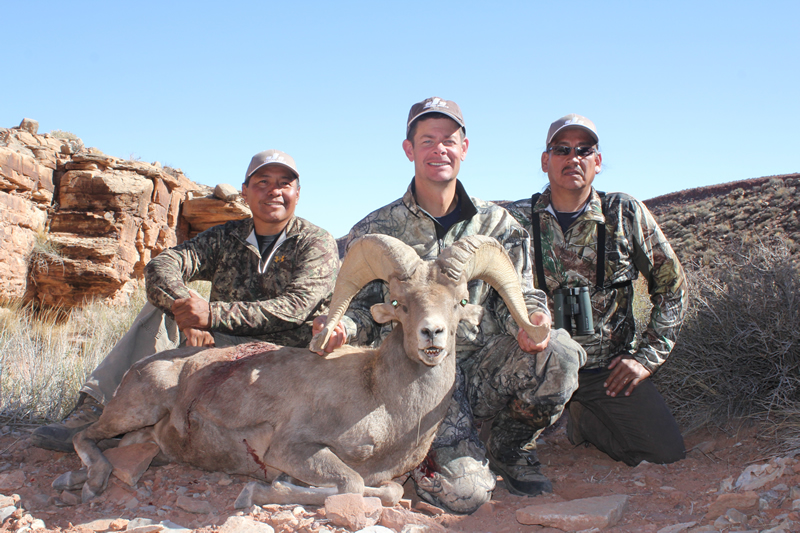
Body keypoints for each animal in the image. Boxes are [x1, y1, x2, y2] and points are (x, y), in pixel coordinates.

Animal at [69, 234, 549, 508]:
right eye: (398, 303)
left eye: (460, 302)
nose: (432, 335)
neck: (386, 406)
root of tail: (143, 368)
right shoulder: (293, 448)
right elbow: (351, 485)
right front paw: (261, 492)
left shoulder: (390, 476)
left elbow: (389, 491)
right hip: (133, 409)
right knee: (84, 436)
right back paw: (90, 482)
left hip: (144, 434)